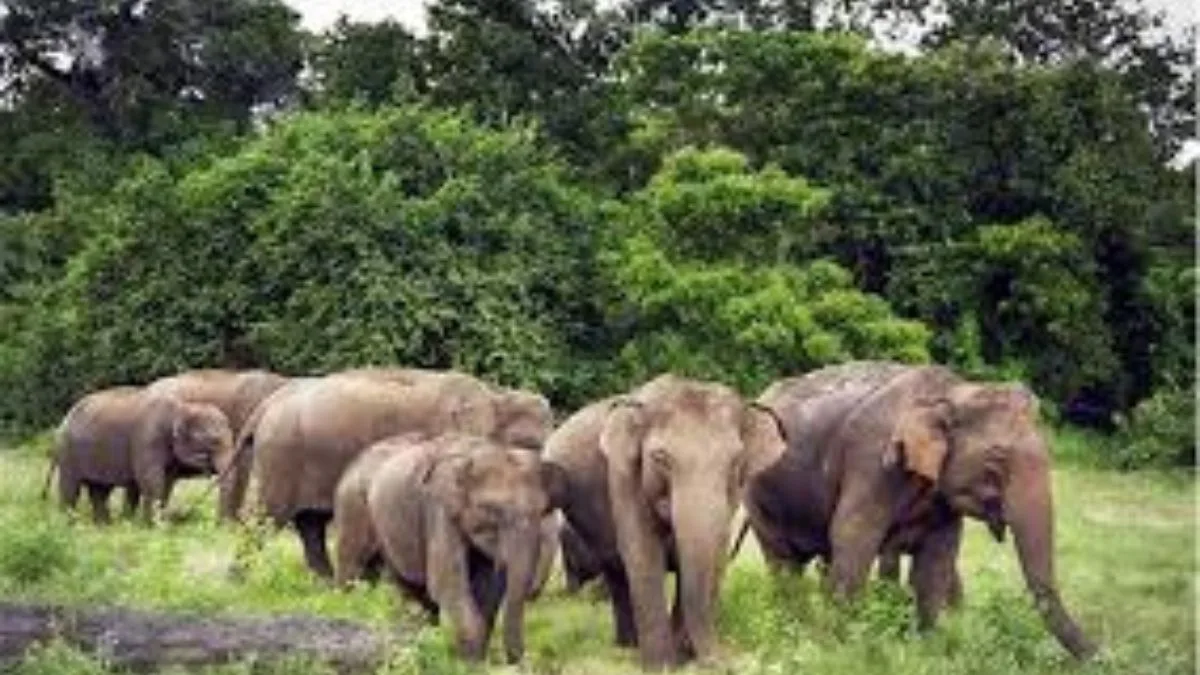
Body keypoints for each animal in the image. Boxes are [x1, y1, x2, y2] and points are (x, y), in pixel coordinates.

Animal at [48, 386, 235, 523]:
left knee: (100, 490)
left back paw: (104, 526)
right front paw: (154, 526)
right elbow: (152, 481)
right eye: (214, 441)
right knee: (71, 488)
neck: (182, 407)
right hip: (68, 452)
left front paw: (147, 524)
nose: (219, 523)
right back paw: (67, 524)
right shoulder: (147, 440)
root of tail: (65, 419)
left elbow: (166, 483)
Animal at [245, 369, 555, 578]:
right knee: (266, 516)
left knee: (311, 523)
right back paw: (245, 577)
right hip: (281, 457)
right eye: (531, 445)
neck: (497, 396)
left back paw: (325, 582)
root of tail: (268, 404)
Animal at [366, 433, 568, 663]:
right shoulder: (439, 511)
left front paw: (476, 657)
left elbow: (488, 589)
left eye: (542, 512)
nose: (517, 662)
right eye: (491, 510)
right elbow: (448, 583)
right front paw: (469, 662)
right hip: (383, 530)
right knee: (411, 589)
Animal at [543, 374, 787, 668]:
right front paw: (661, 665)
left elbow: (713, 554)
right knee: (617, 572)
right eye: (660, 458)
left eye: (736, 460)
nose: (718, 661)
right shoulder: (624, 476)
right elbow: (644, 553)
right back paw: (628, 646)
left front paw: (682, 657)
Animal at [742, 361, 1096, 660]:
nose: (1101, 656)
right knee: (784, 563)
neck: (953, 391)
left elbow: (937, 560)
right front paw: (844, 649)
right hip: (758, 493)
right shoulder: (872, 463)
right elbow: (852, 537)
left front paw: (927, 650)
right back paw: (791, 631)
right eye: (996, 458)